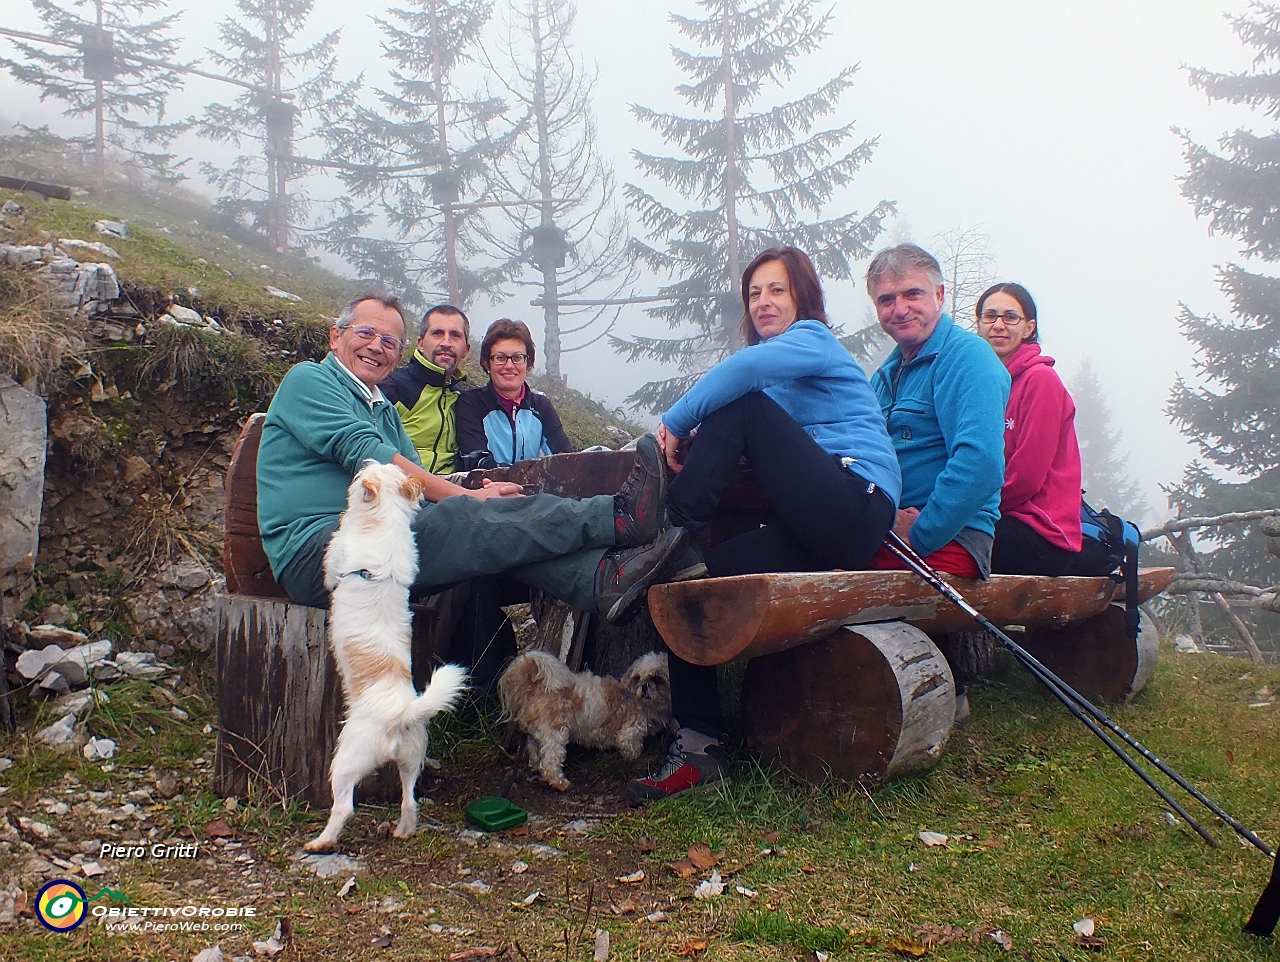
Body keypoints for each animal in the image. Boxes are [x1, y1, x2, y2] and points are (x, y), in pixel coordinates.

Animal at [305, 463, 471, 854]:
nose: (364, 462)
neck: (384, 519)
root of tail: (402, 713)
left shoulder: (336, 556)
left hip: (346, 760)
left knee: (344, 807)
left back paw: (321, 842)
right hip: (411, 760)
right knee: (410, 801)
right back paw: (403, 830)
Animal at [499, 647, 675, 788]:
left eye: (657, 678)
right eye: (637, 678)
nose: (645, 686)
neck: (638, 701)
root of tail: (535, 688)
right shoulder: (630, 733)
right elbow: (632, 749)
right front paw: (634, 760)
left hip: (537, 735)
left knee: (535, 752)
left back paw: (536, 767)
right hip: (555, 733)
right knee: (550, 761)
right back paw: (559, 782)